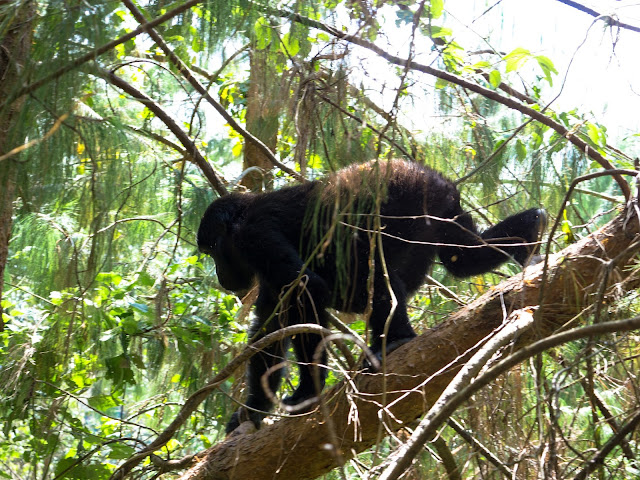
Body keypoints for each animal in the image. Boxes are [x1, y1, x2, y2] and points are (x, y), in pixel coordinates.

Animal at [196, 159, 544, 434]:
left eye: (212, 250)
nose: (220, 275)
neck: (239, 220)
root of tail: (436, 176)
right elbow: (270, 328)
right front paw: (252, 409)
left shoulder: (255, 236)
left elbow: (308, 291)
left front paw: (308, 391)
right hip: (440, 213)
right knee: (462, 257)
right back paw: (530, 231)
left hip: (405, 201)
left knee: (371, 275)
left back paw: (394, 341)